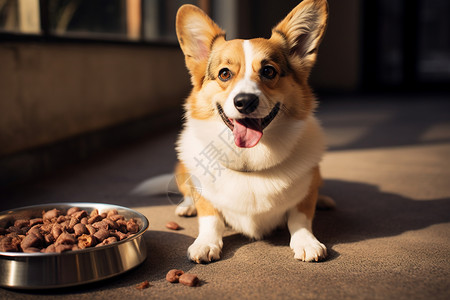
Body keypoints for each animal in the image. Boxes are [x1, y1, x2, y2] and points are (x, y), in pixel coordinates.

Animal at [172, 0, 330, 262]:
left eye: (268, 71)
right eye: (225, 73)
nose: (245, 101)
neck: (250, 162)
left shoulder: (305, 194)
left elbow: (300, 218)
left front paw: (307, 242)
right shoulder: (206, 198)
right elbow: (210, 218)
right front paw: (205, 243)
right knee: (188, 192)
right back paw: (186, 206)